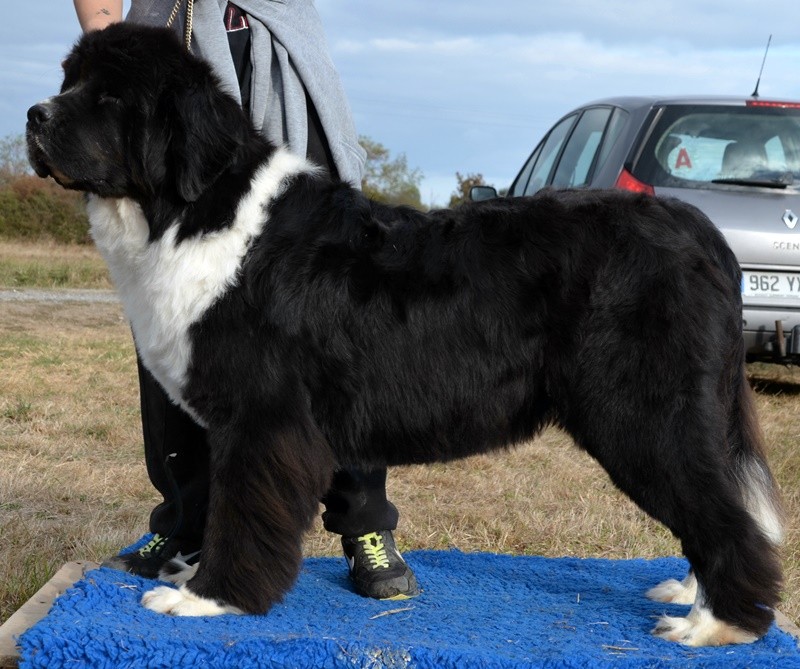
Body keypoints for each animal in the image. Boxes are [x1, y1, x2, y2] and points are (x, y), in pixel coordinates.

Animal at [26, 23, 780, 644]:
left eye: (112, 97)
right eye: (69, 80)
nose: (34, 115)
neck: (195, 211)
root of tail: (696, 228)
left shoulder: (262, 419)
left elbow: (241, 512)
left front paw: (209, 598)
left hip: (642, 413)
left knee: (724, 512)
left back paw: (716, 623)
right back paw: (693, 593)